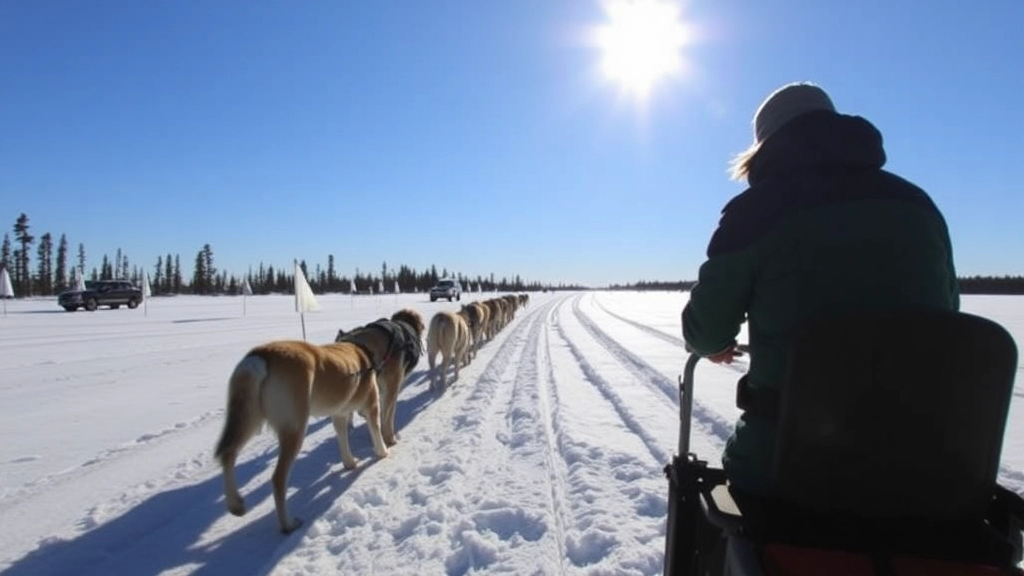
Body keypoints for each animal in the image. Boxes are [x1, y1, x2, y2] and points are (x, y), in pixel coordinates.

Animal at [216, 338, 387, 532]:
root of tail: (260, 356)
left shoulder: (339, 414)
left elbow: (342, 437)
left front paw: (349, 463)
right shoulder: (372, 405)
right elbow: (376, 431)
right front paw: (383, 452)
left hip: (248, 418)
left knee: (228, 453)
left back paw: (235, 504)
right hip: (294, 428)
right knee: (278, 478)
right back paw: (288, 524)